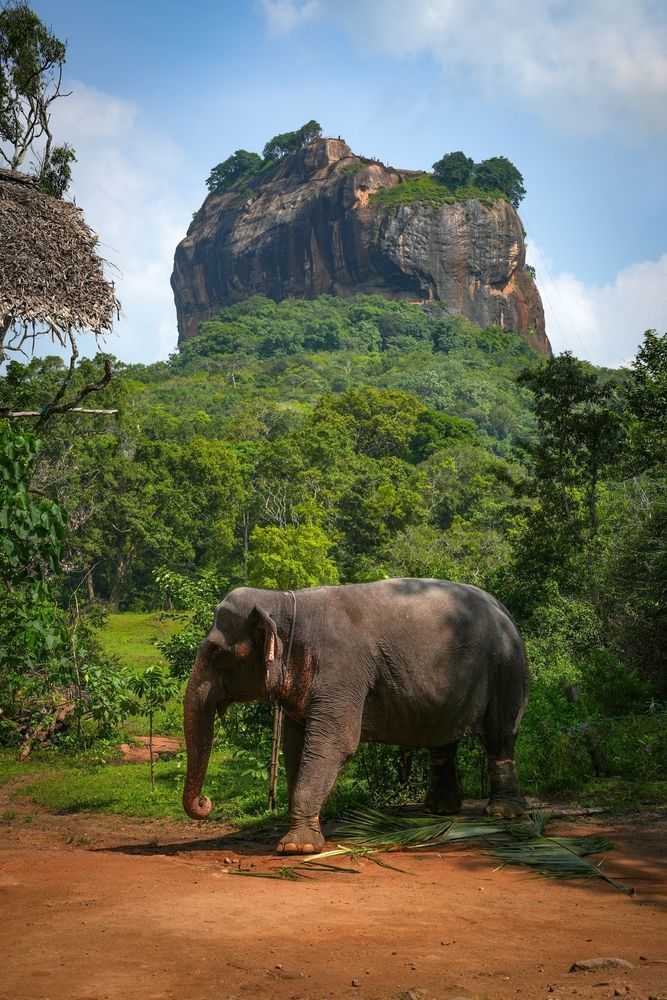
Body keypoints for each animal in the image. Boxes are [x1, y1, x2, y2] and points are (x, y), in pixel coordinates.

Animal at [182, 578, 528, 854]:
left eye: (215, 652)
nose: (206, 802)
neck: (282, 601)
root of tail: (503, 608)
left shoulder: (340, 670)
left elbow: (336, 743)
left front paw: (296, 847)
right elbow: (295, 748)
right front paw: (304, 833)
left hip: (506, 669)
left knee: (500, 735)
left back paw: (503, 814)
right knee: (443, 742)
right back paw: (439, 811)